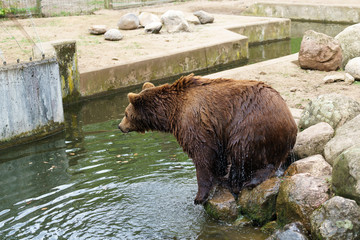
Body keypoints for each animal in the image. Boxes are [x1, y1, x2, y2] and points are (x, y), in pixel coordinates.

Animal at [119, 73, 296, 204]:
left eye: (126, 114)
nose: (120, 126)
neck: (171, 112)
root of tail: (292, 125)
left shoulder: (194, 123)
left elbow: (202, 155)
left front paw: (199, 196)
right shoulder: (215, 131)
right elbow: (217, 157)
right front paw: (218, 176)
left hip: (251, 125)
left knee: (242, 151)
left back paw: (244, 182)